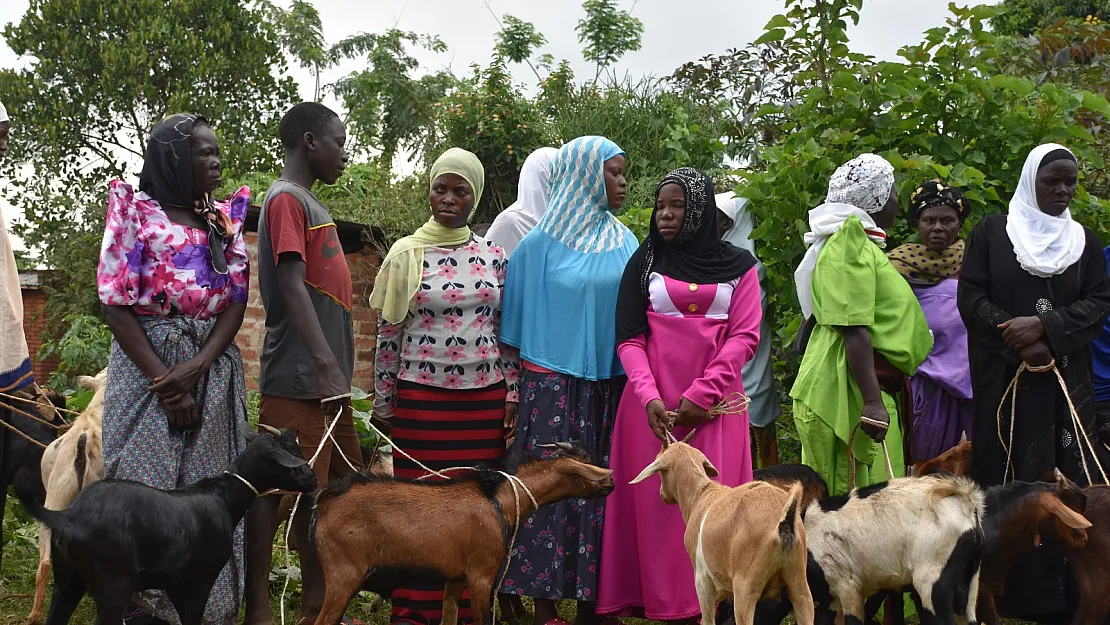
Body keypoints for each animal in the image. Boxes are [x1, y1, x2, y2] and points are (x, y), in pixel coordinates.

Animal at [310, 439, 617, 625]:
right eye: (583, 468)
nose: (611, 484)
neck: (502, 499)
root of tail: (326, 501)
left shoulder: (455, 578)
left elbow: (449, 616)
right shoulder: (481, 576)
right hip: (343, 575)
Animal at [634, 435, 816, 625]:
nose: (662, 494)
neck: (701, 494)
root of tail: (784, 521)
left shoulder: (703, 581)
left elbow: (707, 619)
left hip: (745, 590)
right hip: (799, 586)